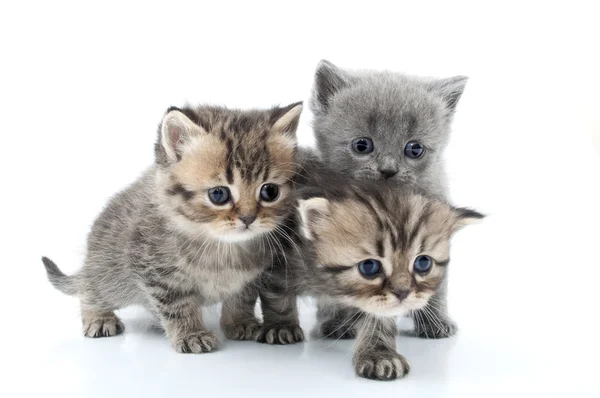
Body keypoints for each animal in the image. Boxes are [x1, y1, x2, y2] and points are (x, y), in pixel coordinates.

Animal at [41, 102, 302, 354]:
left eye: (269, 191)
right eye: (218, 194)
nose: (248, 218)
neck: (221, 245)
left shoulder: (251, 276)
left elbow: (241, 298)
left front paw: (239, 322)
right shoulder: (158, 273)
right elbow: (178, 306)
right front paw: (191, 334)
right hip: (110, 274)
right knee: (89, 288)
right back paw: (98, 316)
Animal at [258, 156, 482, 380]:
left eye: (423, 263)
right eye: (369, 267)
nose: (403, 293)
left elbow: (379, 320)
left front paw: (380, 354)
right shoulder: (279, 260)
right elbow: (277, 296)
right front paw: (281, 326)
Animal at [310, 59, 468, 338]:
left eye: (414, 149)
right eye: (362, 145)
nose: (388, 169)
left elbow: (435, 281)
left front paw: (435, 322)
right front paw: (339, 323)